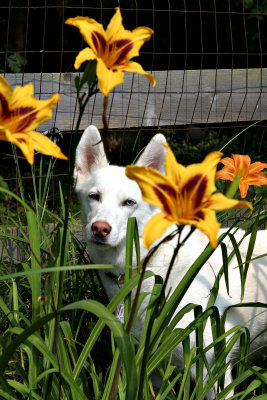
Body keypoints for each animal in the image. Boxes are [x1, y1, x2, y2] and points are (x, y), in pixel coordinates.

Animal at [75, 124, 267, 396]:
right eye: (94, 196)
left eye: (129, 202)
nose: (99, 229)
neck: (154, 264)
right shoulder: (151, 369)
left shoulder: (214, 369)